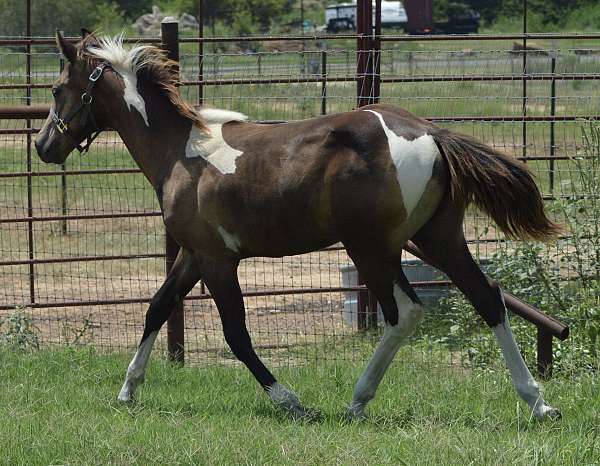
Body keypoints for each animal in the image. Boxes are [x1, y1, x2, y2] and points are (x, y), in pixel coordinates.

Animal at [36, 31, 564, 420]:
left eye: (57, 90)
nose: (43, 146)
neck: (183, 152)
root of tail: (430, 133)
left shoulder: (217, 260)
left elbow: (236, 334)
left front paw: (290, 401)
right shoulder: (192, 254)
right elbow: (157, 308)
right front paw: (128, 391)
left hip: (371, 248)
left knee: (404, 313)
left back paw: (357, 400)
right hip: (435, 238)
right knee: (486, 298)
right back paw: (538, 402)